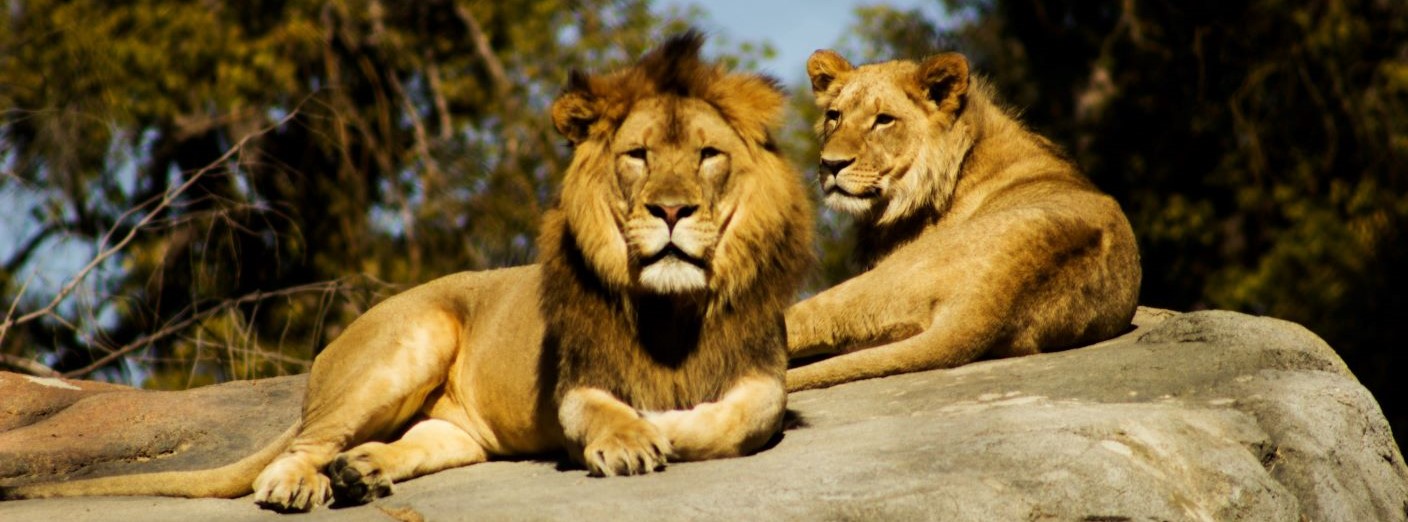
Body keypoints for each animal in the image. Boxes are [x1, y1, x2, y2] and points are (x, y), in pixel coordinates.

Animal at [1, 33, 814, 512]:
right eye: (638, 156)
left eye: (708, 156)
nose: (671, 209)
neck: (674, 307)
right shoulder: (577, 381)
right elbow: (603, 409)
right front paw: (634, 435)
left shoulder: (762, 374)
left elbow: (742, 416)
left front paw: (669, 424)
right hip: (409, 343)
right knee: (295, 450)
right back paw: (301, 483)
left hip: (455, 430)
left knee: (410, 442)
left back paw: (360, 472)